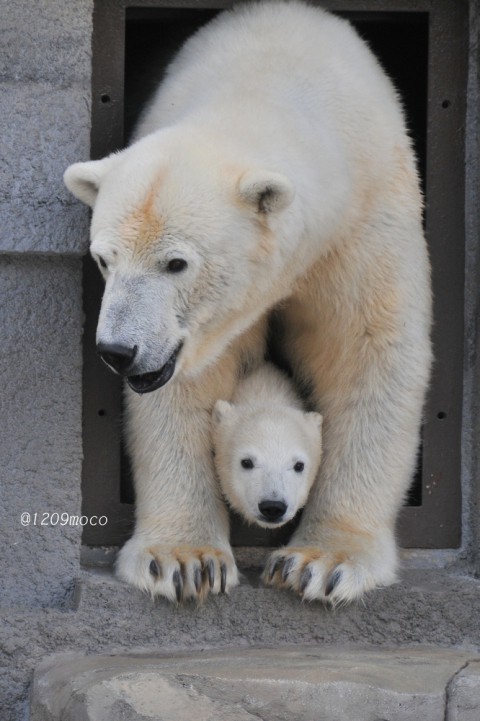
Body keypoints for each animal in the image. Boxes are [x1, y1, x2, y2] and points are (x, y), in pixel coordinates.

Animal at [64, 2, 432, 604]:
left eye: (176, 263)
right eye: (103, 259)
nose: (118, 351)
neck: (268, 81)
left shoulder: (365, 221)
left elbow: (367, 349)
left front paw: (323, 561)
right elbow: (189, 385)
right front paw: (185, 560)